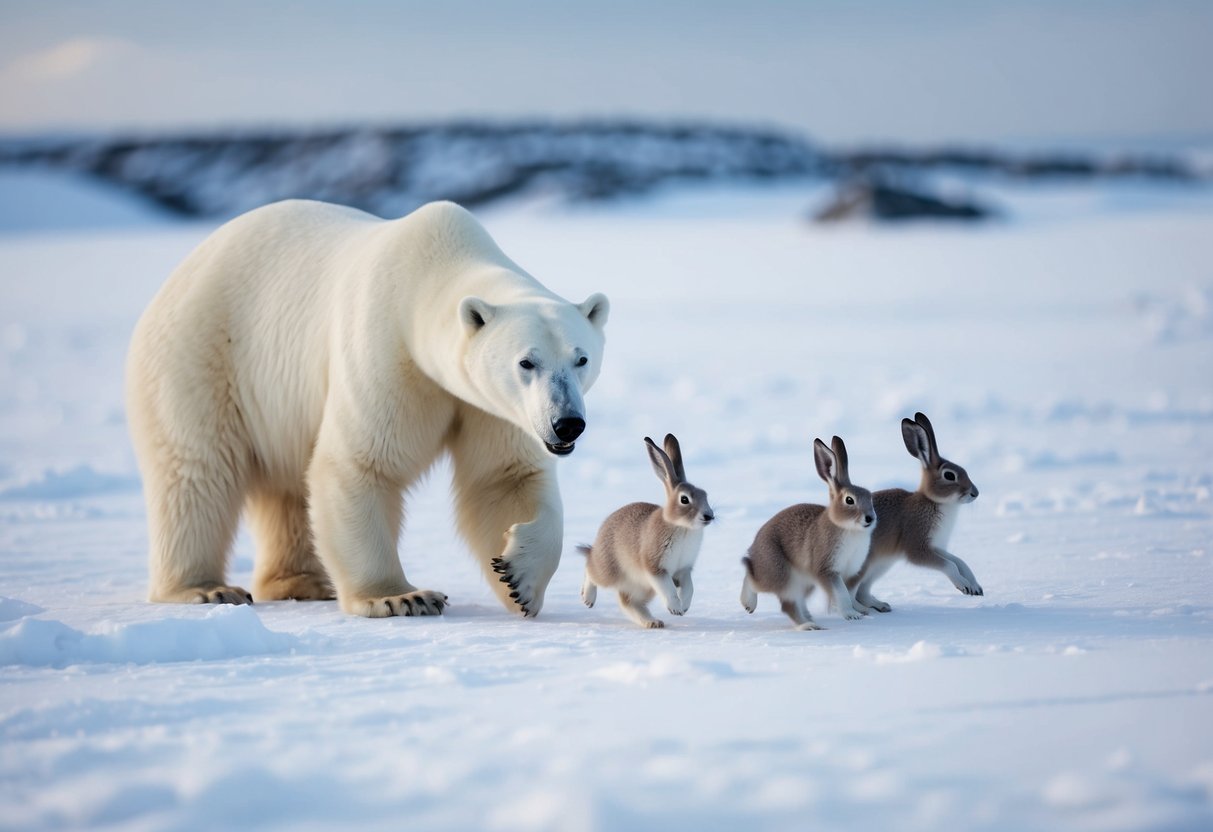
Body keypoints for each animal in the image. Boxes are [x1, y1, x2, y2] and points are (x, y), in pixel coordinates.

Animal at [126, 199, 609, 618]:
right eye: (526, 362)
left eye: (581, 358)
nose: (567, 424)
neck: (429, 272)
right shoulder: (385, 351)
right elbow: (361, 464)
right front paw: (400, 597)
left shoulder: (490, 405)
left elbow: (505, 477)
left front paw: (520, 579)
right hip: (202, 355)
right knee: (196, 471)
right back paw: (205, 588)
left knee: (285, 486)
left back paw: (302, 582)